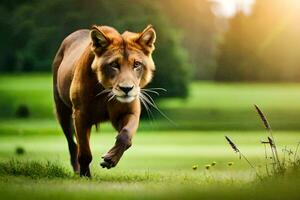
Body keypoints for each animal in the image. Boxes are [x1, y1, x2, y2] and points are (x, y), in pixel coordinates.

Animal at [53, 24, 157, 177]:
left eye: (137, 64)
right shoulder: (80, 114)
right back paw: (77, 170)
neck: (105, 93)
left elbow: (125, 135)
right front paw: (85, 176)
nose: (126, 88)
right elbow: (84, 152)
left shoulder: (129, 111)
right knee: (72, 144)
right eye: (114, 64)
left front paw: (109, 159)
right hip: (62, 111)